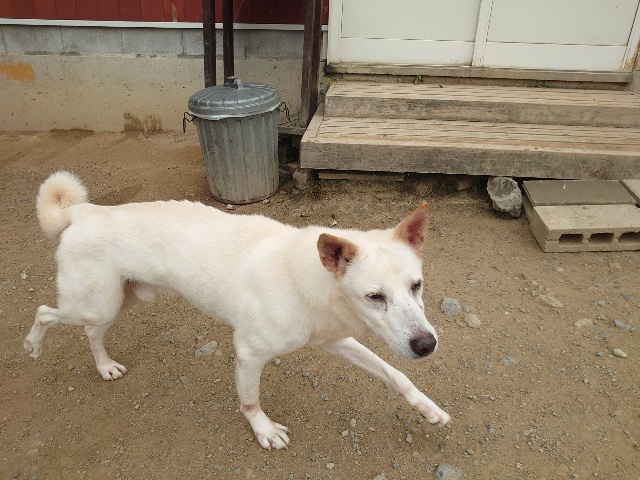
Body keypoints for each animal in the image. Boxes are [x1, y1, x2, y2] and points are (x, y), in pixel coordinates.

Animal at [24, 171, 451, 450]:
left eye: (416, 286)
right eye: (375, 296)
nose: (427, 345)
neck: (308, 282)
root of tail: (85, 212)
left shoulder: (334, 340)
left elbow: (395, 374)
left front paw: (428, 410)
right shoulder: (248, 353)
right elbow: (250, 401)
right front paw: (265, 431)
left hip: (118, 301)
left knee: (92, 332)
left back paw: (104, 367)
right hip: (97, 303)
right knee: (46, 312)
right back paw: (33, 345)